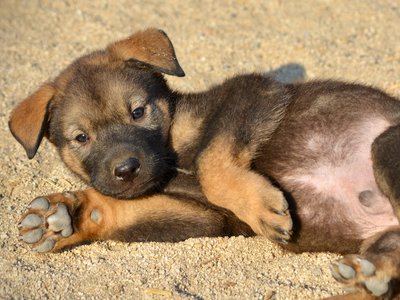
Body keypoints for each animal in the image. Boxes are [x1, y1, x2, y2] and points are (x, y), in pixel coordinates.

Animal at [8, 28, 400, 298]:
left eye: (138, 112)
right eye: (81, 138)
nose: (126, 170)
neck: (170, 161)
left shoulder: (251, 92)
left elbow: (211, 160)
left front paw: (263, 208)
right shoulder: (207, 216)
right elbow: (121, 211)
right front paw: (67, 216)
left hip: (383, 145)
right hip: (382, 237)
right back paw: (367, 279)